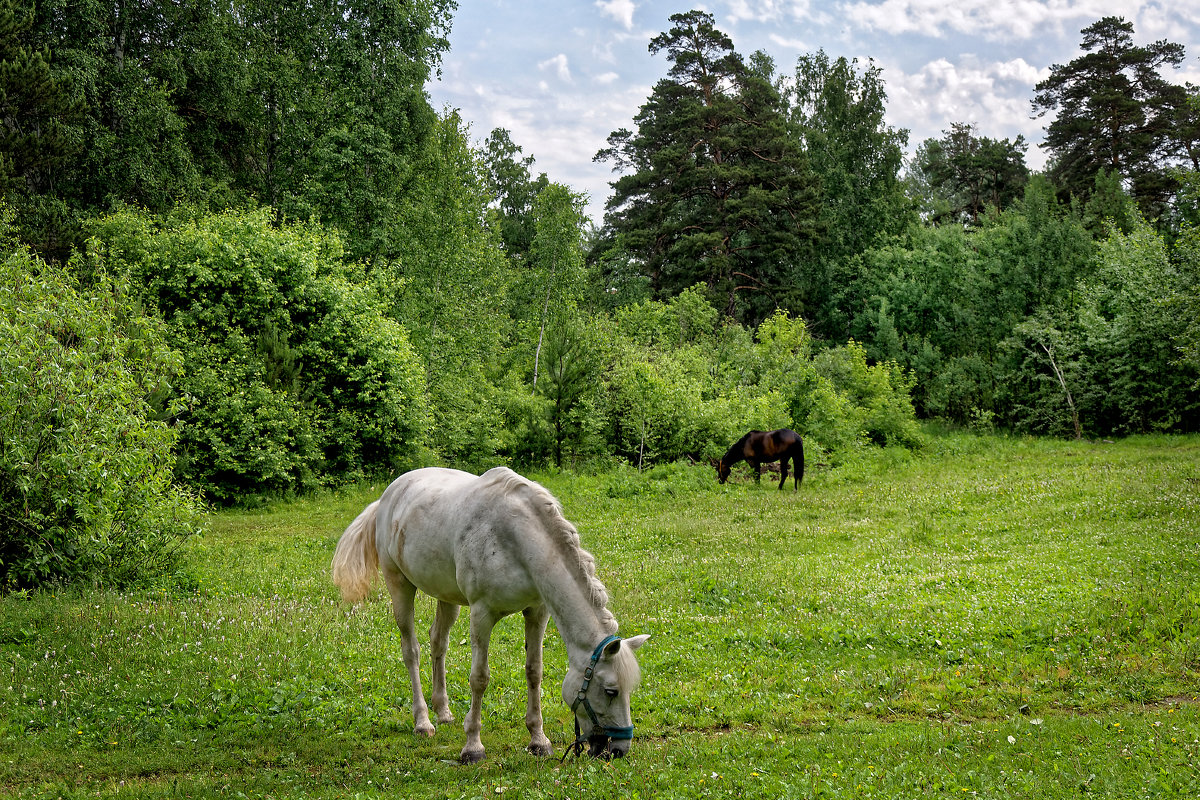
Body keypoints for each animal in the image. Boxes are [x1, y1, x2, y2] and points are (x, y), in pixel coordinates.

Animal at [331, 470, 648, 762]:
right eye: (611, 691)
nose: (619, 749)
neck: (516, 539)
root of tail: (389, 494)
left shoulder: (537, 611)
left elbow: (534, 671)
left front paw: (538, 740)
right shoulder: (482, 614)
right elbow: (479, 678)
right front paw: (473, 746)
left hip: (446, 596)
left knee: (438, 642)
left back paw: (443, 710)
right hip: (399, 585)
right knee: (412, 650)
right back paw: (423, 721)